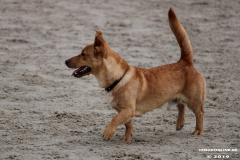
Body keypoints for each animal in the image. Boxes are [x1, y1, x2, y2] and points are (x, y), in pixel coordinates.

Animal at [65, 8, 206, 142]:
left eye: (83, 54)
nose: (65, 61)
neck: (119, 78)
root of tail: (184, 62)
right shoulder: (125, 111)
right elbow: (128, 125)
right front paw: (127, 138)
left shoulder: (128, 110)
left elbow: (115, 119)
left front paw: (108, 132)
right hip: (179, 97)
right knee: (181, 105)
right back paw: (180, 123)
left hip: (194, 100)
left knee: (199, 113)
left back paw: (198, 131)